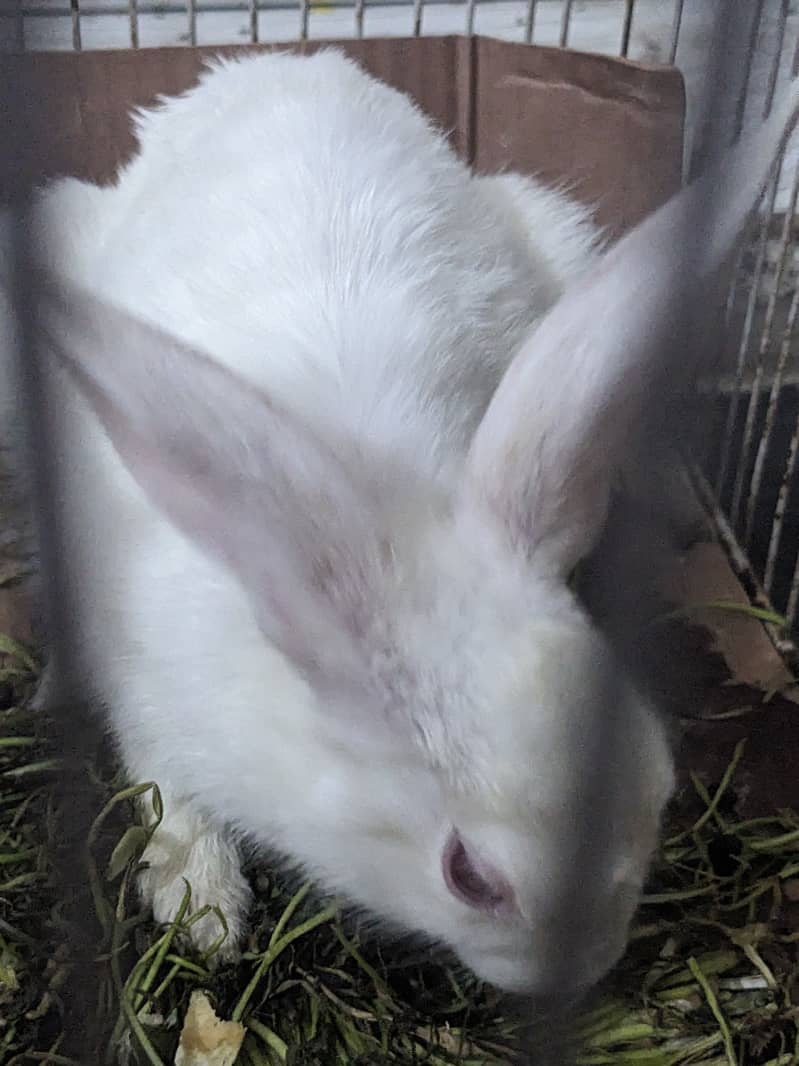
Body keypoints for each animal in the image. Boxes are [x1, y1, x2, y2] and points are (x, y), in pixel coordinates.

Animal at [6, 48, 799, 997]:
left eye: (657, 782)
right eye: (469, 877)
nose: (582, 975)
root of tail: (283, 63)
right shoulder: (149, 696)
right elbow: (166, 795)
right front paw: (205, 913)